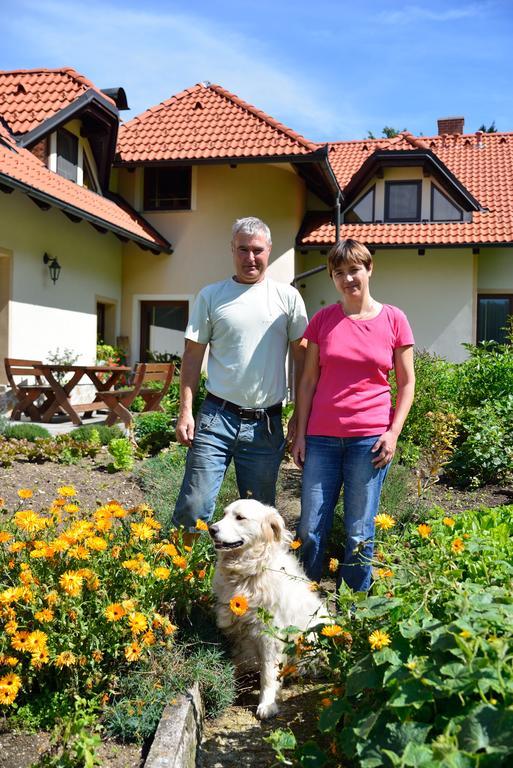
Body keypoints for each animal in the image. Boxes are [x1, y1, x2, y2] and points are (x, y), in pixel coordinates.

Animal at [208, 498, 324, 720]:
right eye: (224, 514)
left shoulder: (270, 636)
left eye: (240, 517)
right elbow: (235, 662)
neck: (249, 571)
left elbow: (268, 675)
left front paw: (267, 704)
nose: (211, 529)